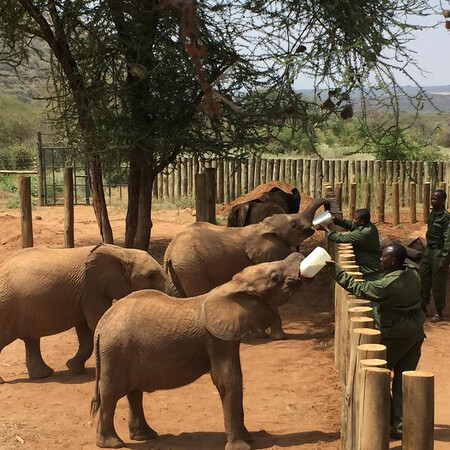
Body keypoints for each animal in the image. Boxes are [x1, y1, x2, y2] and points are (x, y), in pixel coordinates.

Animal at [0, 244, 166, 382]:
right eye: (151, 276)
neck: (122, 251)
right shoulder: (91, 289)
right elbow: (95, 321)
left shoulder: (85, 292)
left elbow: (84, 328)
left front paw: (74, 369)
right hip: (6, 305)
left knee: (32, 339)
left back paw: (43, 375)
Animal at [92, 253, 310, 450]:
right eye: (275, 278)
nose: (301, 257)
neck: (232, 286)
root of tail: (100, 326)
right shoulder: (215, 339)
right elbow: (228, 380)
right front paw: (241, 446)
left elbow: (232, 379)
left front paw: (249, 439)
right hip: (115, 350)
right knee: (111, 394)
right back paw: (112, 443)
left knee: (134, 392)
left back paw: (146, 436)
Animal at [163, 197, 328, 338]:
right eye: (294, 225)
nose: (324, 222)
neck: (264, 227)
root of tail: (170, 250)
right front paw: (276, 336)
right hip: (192, 267)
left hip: (177, 270)